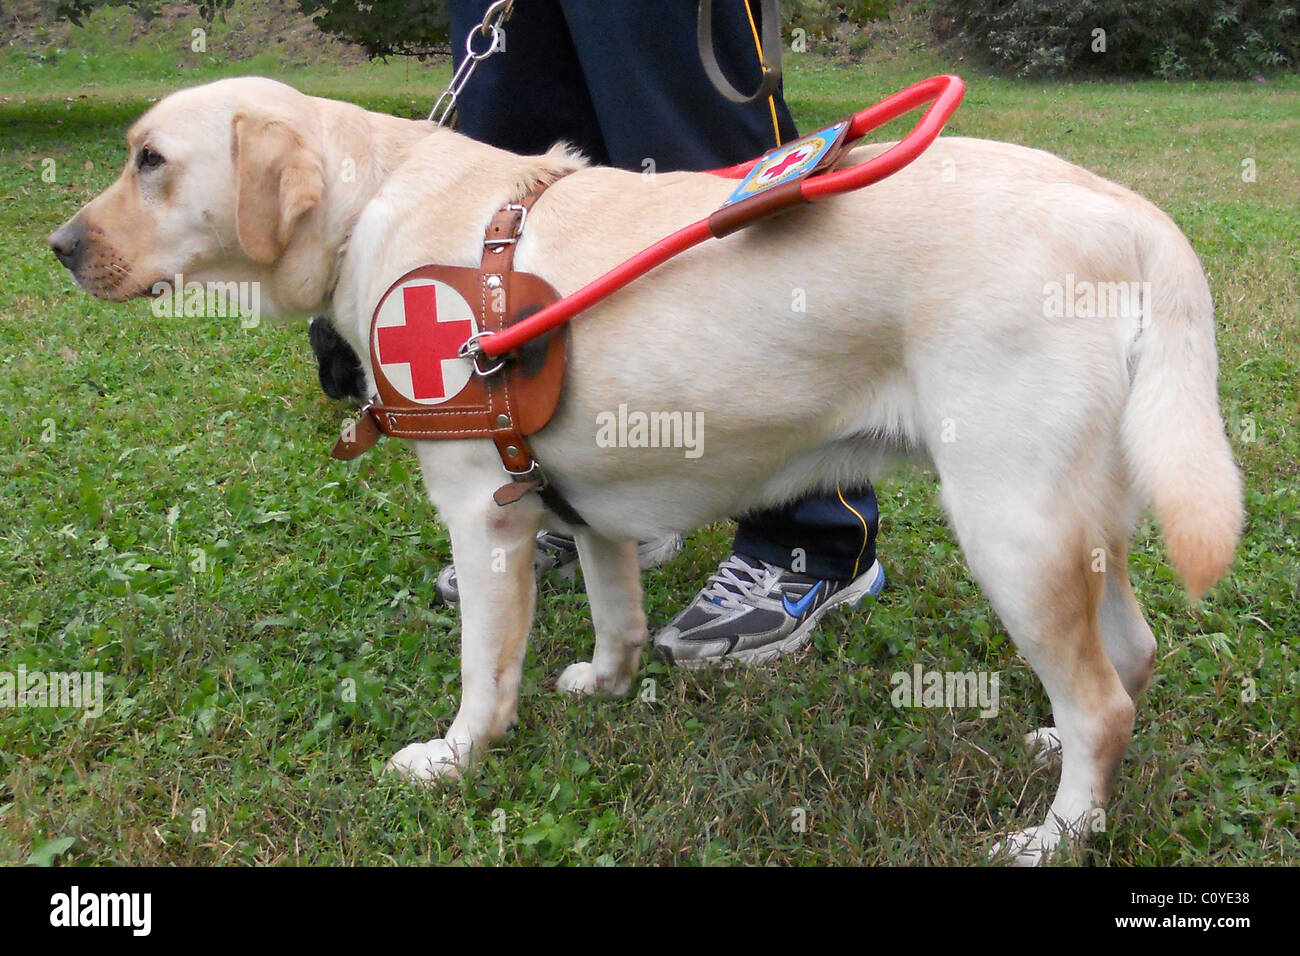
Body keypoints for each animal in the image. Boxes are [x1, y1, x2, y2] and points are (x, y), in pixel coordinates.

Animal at [53, 78, 1248, 863]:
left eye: (149, 161)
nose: (59, 247)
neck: (372, 203)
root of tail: (1128, 212)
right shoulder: (575, 498)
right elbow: (615, 608)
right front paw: (607, 682)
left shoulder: (480, 516)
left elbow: (484, 672)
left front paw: (456, 757)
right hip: (1079, 521)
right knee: (1130, 656)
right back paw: (1059, 760)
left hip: (1008, 522)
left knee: (1103, 700)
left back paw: (1055, 833)